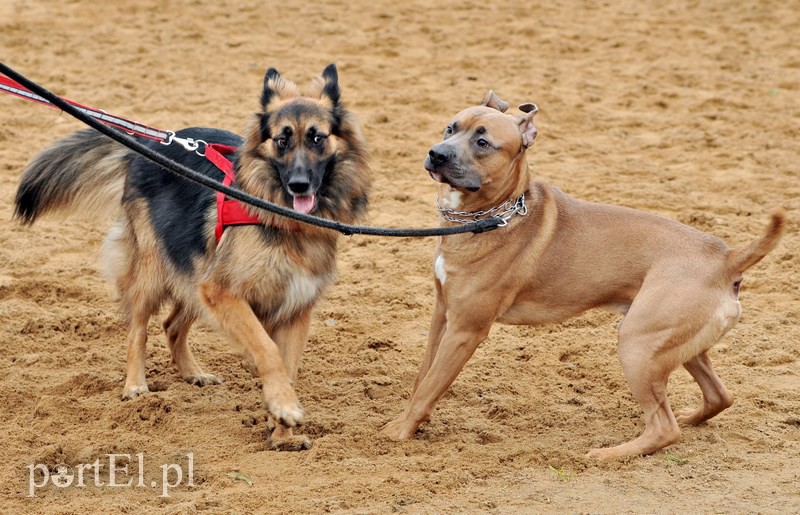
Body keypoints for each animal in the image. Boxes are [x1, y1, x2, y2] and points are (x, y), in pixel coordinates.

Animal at [14, 65, 372, 452]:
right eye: (282, 140)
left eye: (317, 138)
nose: (299, 185)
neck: (283, 218)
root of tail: (151, 145)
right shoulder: (224, 292)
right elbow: (268, 351)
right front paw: (283, 407)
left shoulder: (295, 308)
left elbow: (288, 367)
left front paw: (282, 433)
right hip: (156, 271)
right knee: (137, 329)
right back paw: (135, 385)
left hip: (192, 271)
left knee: (172, 325)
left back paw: (193, 373)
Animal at [382, 91, 788, 460]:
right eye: (451, 128)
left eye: (483, 142)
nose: (437, 153)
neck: (496, 215)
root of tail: (726, 258)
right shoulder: (443, 313)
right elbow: (423, 377)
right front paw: (408, 422)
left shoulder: (466, 329)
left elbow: (430, 385)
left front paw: (398, 435)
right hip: (677, 345)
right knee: (719, 396)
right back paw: (688, 418)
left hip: (637, 345)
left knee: (664, 428)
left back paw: (608, 454)